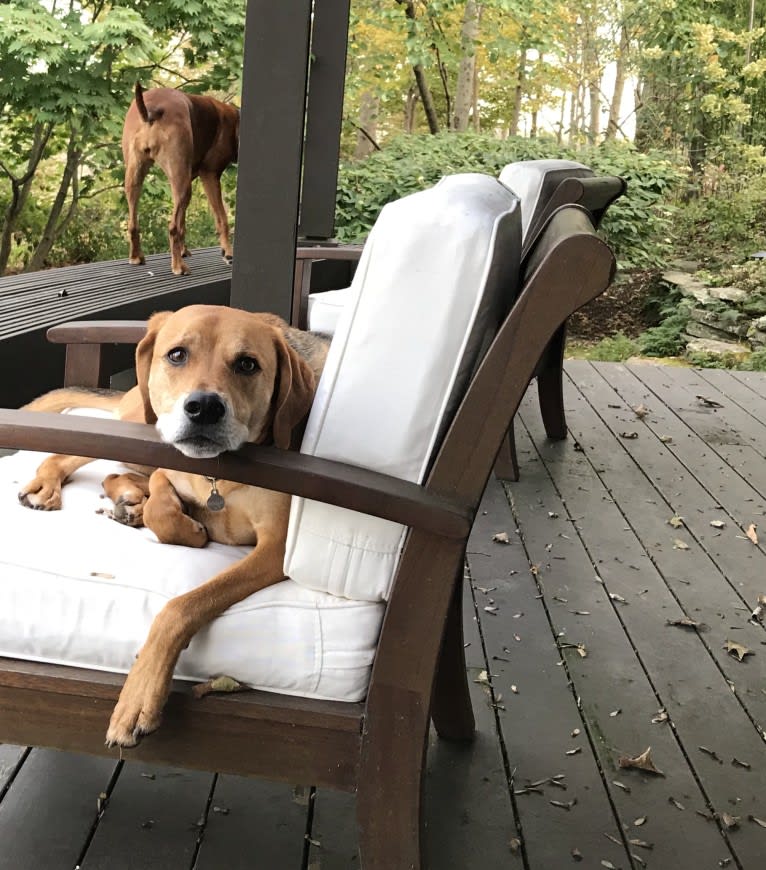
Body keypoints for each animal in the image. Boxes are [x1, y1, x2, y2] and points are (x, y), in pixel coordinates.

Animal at [17, 306, 330, 748]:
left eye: (248, 364)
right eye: (177, 355)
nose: (204, 407)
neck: (217, 475)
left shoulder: (276, 547)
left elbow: (181, 606)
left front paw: (139, 697)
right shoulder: (169, 466)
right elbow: (162, 511)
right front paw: (186, 523)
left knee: (114, 475)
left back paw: (127, 500)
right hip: (140, 426)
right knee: (76, 458)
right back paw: (53, 486)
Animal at [123, 83, 240, 276]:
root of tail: (152, 110)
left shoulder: (186, 178)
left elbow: (183, 222)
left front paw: (184, 250)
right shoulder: (210, 175)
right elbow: (222, 219)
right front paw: (228, 253)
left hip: (137, 177)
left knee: (134, 222)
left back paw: (136, 257)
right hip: (183, 184)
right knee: (172, 228)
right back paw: (178, 266)